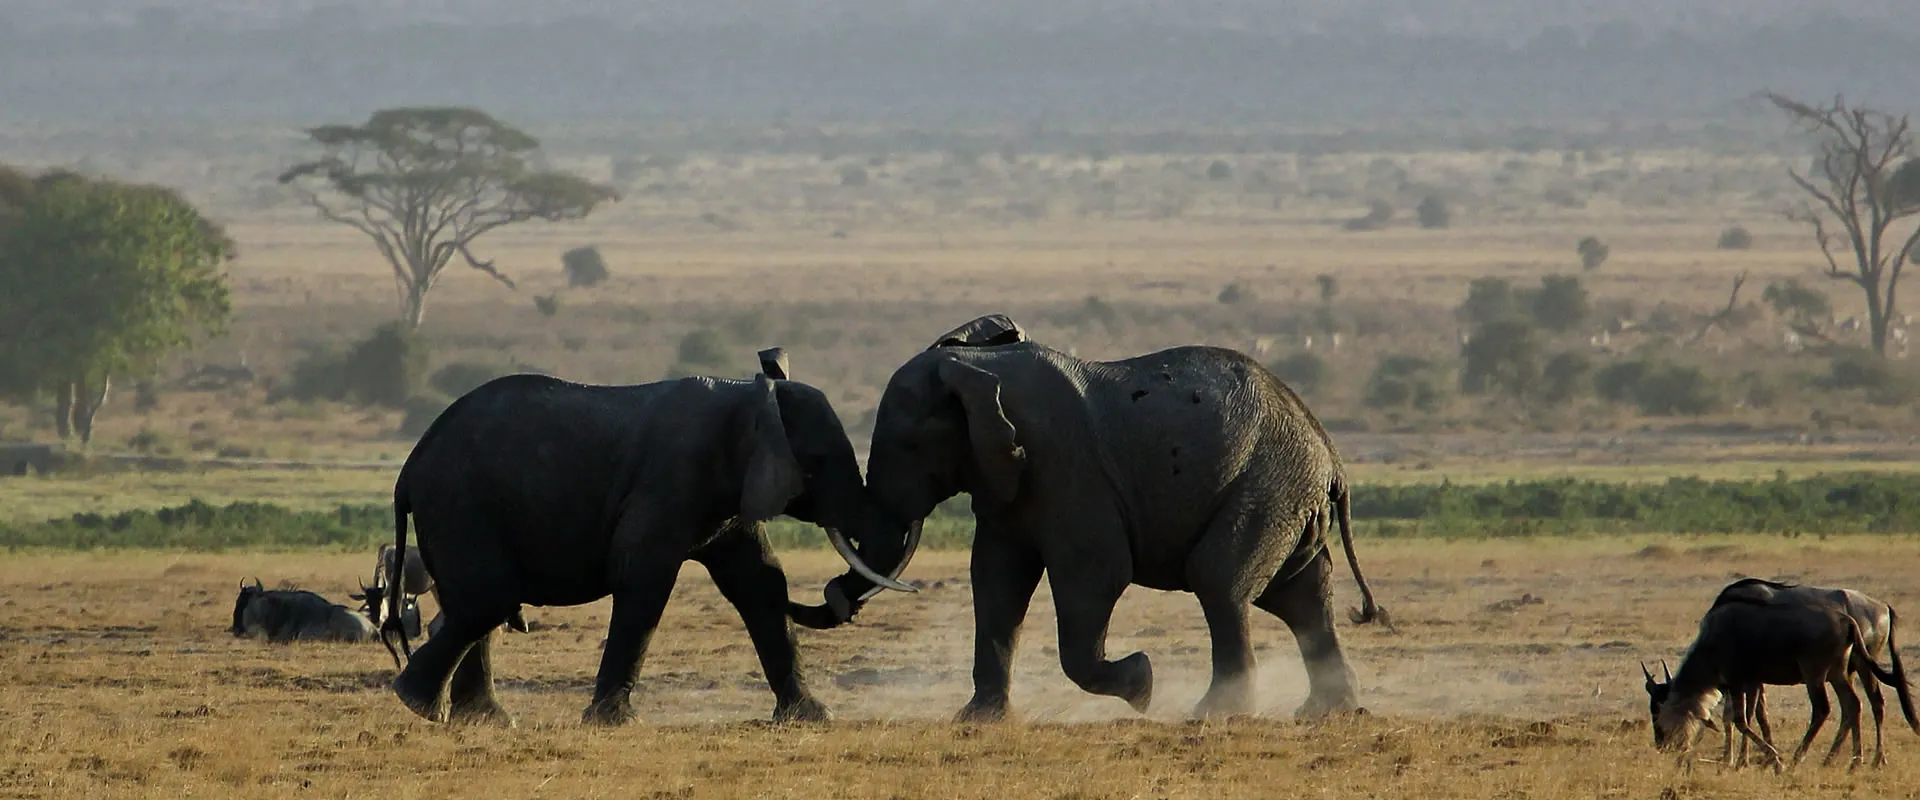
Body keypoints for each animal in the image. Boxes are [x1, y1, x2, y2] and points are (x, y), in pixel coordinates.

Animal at [381, 348, 921, 727]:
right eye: (820, 463)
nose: (838, 595)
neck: (747, 398)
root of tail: (408, 469)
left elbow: (761, 583)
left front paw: (812, 717)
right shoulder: (670, 479)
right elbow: (644, 579)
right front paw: (614, 723)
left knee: (478, 604)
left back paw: (481, 719)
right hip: (460, 505)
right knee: (488, 600)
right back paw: (418, 704)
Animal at [863, 314, 1389, 722]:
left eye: (908, 445)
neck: (979, 367)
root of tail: (1331, 455)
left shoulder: (1067, 469)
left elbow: (1096, 574)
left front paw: (1142, 686)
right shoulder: (1005, 482)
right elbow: (996, 580)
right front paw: (977, 721)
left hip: (1269, 484)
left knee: (1220, 581)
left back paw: (1214, 715)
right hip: (1286, 495)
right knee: (1301, 595)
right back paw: (1326, 712)